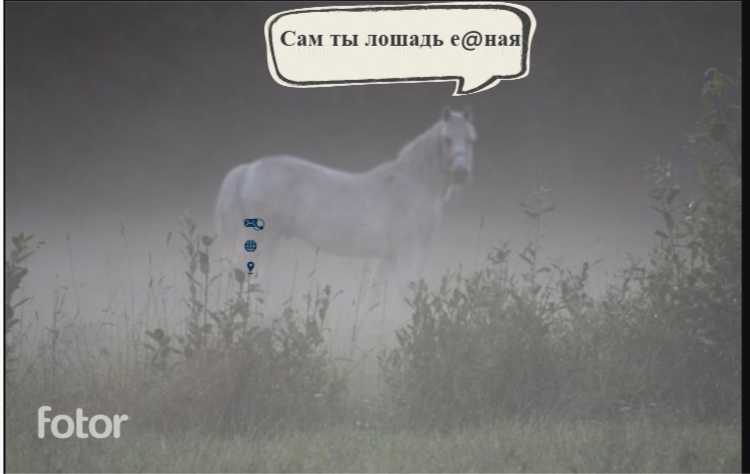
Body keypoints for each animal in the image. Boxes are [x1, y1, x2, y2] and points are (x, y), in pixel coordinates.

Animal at [214, 106, 476, 301]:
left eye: (471, 140)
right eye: (447, 139)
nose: (461, 174)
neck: (415, 182)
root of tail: (248, 170)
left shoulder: (388, 256)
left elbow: (375, 297)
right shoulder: (408, 252)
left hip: (270, 242)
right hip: (258, 240)